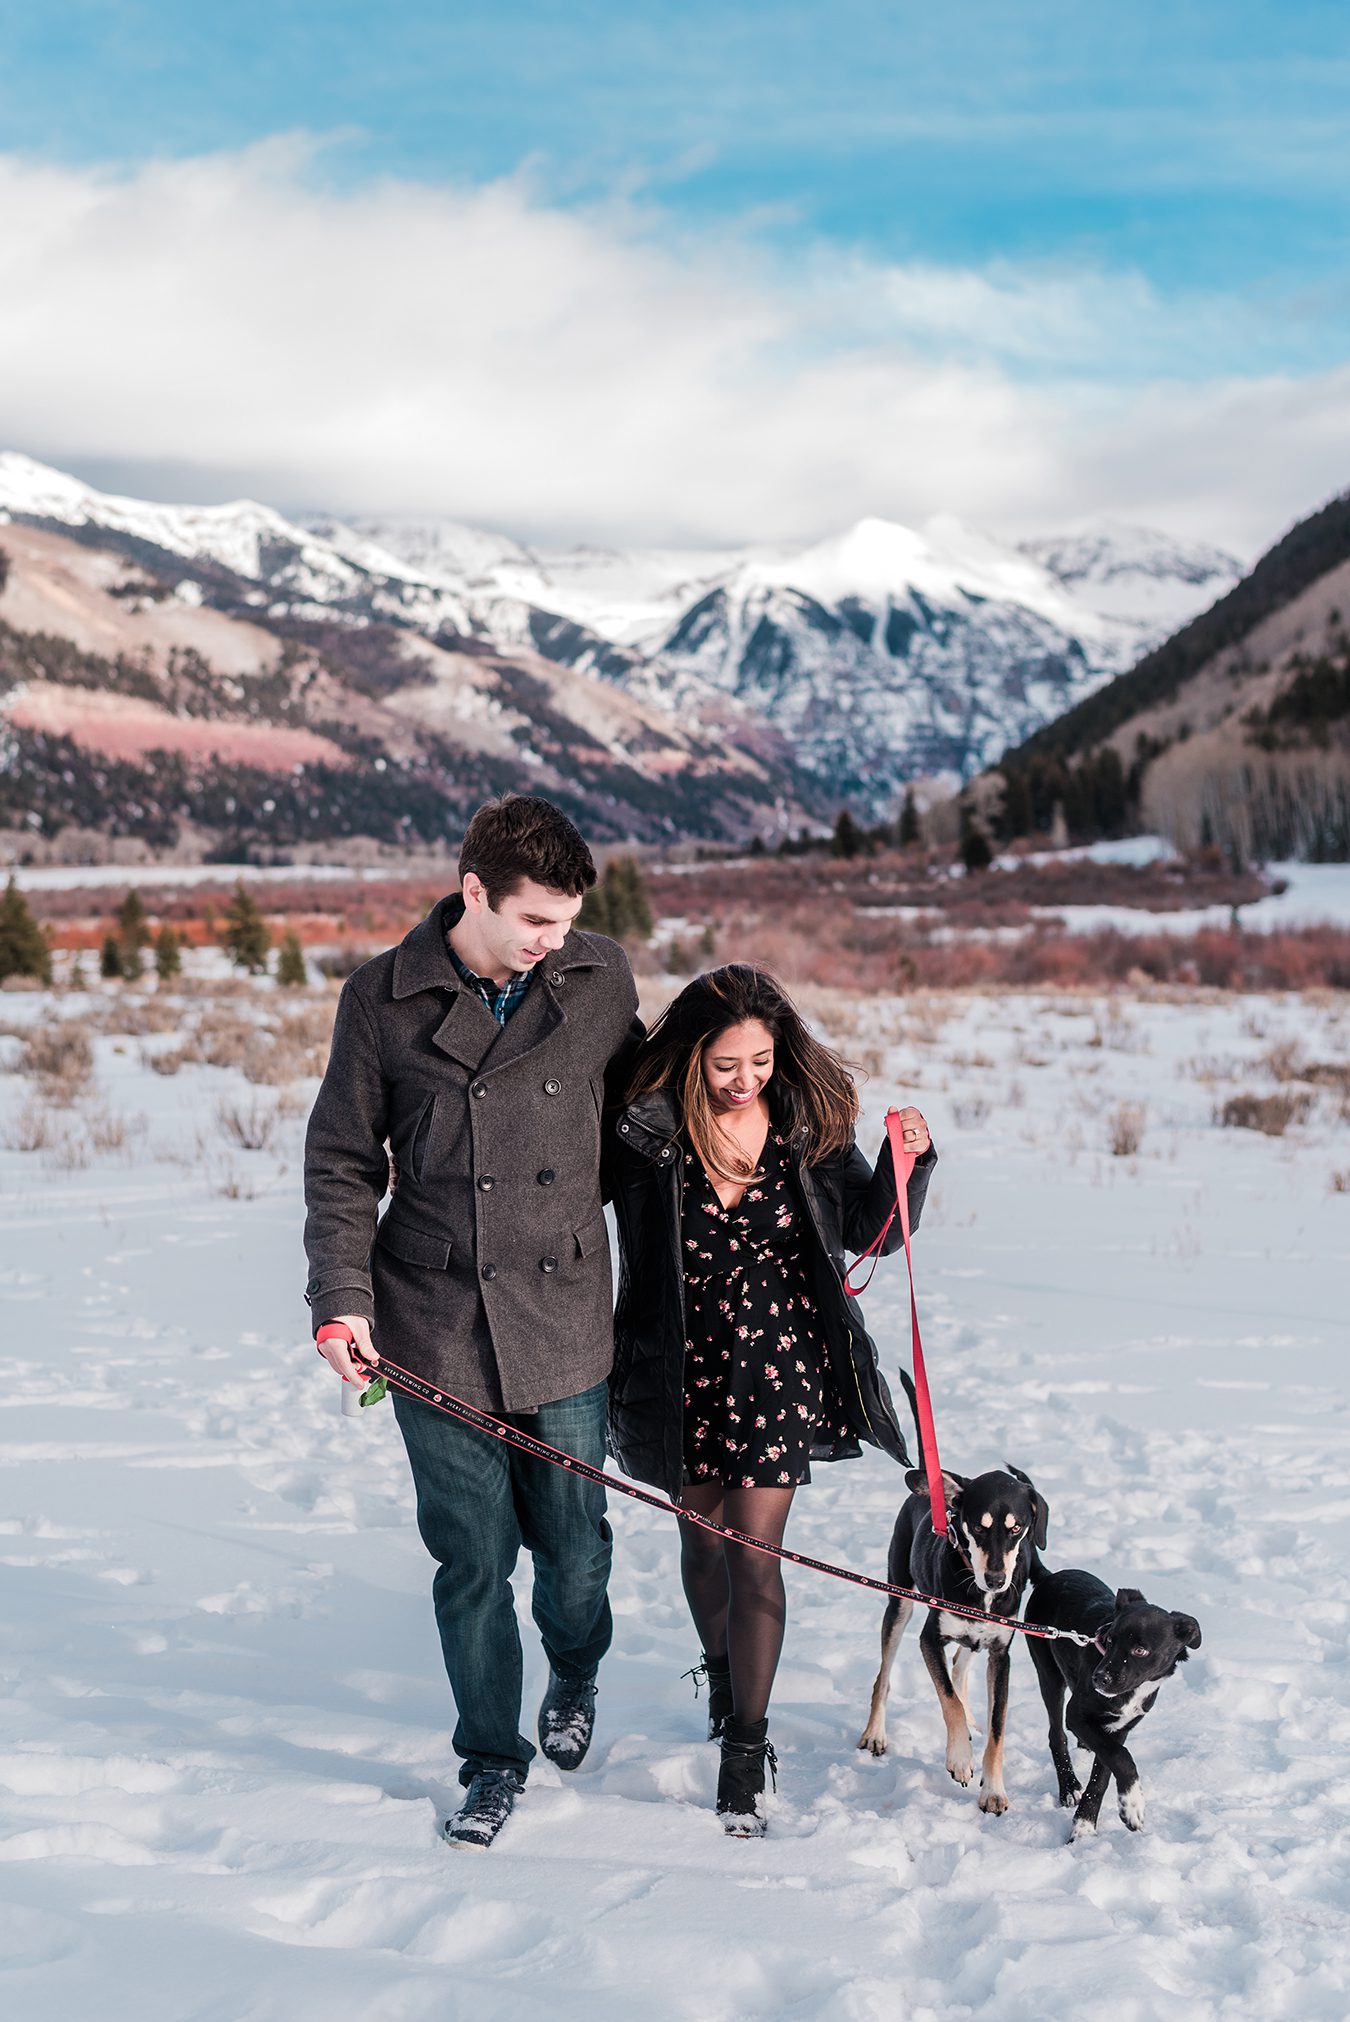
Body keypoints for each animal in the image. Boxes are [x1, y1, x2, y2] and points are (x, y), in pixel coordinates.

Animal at [852, 1455, 1050, 1819]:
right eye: (979, 1527)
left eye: (1017, 1528)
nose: (996, 1579)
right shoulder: (930, 1639)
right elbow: (949, 1700)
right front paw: (959, 1759)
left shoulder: (1001, 1655)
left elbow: (997, 1727)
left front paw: (994, 1790)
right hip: (899, 1601)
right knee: (884, 1676)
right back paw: (874, 1733)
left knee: (960, 1664)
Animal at [1022, 1569, 1204, 1844]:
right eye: (1108, 1640)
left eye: (1140, 1650)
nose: (1099, 1679)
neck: (1134, 1691)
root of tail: (1050, 1575)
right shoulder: (1077, 1715)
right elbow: (1121, 1757)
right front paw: (1133, 1805)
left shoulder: (1119, 1727)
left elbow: (1104, 1771)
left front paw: (1085, 1826)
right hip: (1049, 1674)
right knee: (1056, 1734)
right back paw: (1068, 1787)